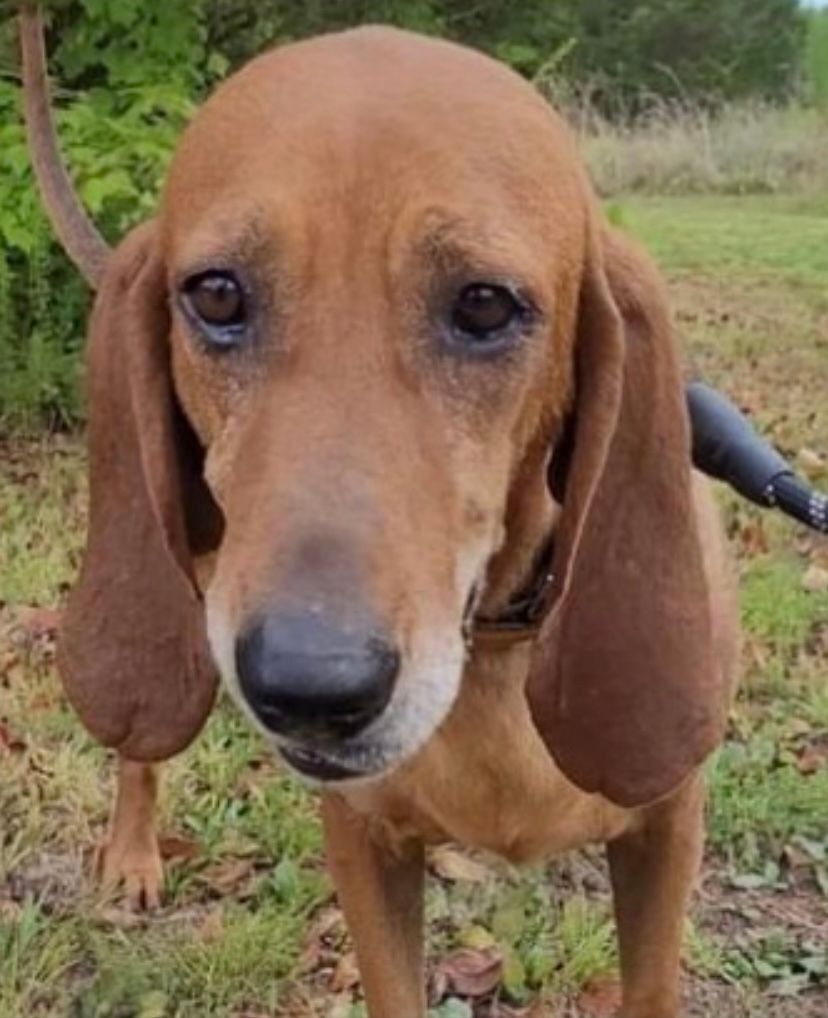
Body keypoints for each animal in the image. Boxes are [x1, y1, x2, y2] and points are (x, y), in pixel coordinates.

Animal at [22, 5, 741, 1009]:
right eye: (216, 294)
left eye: (485, 306)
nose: (309, 689)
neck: (496, 643)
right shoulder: (362, 841)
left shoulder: (668, 826)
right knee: (141, 728)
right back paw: (132, 854)